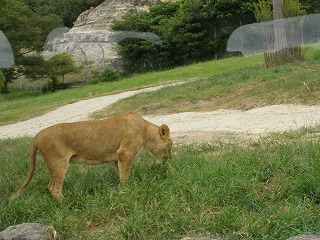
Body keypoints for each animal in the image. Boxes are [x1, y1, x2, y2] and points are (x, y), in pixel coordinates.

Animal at [11, 112, 172, 199]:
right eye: (170, 145)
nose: (170, 158)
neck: (145, 131)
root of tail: (37, 135)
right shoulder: (125, 153)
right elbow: (125, 176)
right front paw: (127, 190)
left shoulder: (117, 157)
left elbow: (120, 173)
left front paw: (121, 187)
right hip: (59, 163)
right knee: (53, 188)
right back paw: (67, 202)